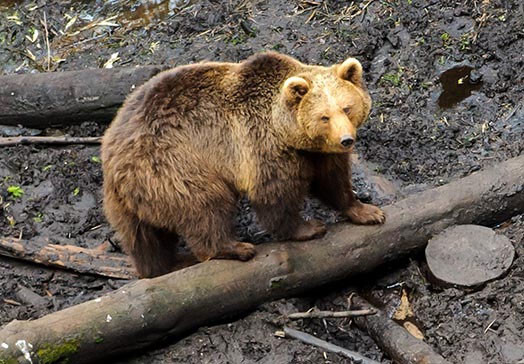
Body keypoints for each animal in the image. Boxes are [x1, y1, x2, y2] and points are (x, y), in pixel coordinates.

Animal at [101, 51, 384, 278]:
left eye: (346, 108)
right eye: (324, 117)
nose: (346, 140)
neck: (288, 133)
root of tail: (112, 153)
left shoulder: (317, 154)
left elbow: (333, 181)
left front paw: (367, 211)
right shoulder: (261, 145)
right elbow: (275, 194)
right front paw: (309, 227)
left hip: (129, 201)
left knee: (144, 239)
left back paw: (166, 265)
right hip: (173, 165)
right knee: (206, 204)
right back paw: (235, 248)